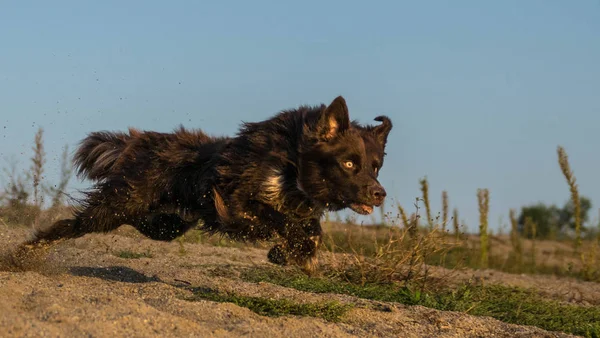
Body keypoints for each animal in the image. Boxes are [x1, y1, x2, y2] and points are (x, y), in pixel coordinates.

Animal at [19, 94, 394, 272]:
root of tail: (137, 142)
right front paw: (287, 249)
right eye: (349, 163)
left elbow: (312, 232)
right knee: (70, 225)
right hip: (119, 205)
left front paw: (289, 253)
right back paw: (24, 253)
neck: (292, 165)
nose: (380, 194)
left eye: (376, 167)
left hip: (166, 224)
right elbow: (278, 217)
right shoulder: (237, 202)